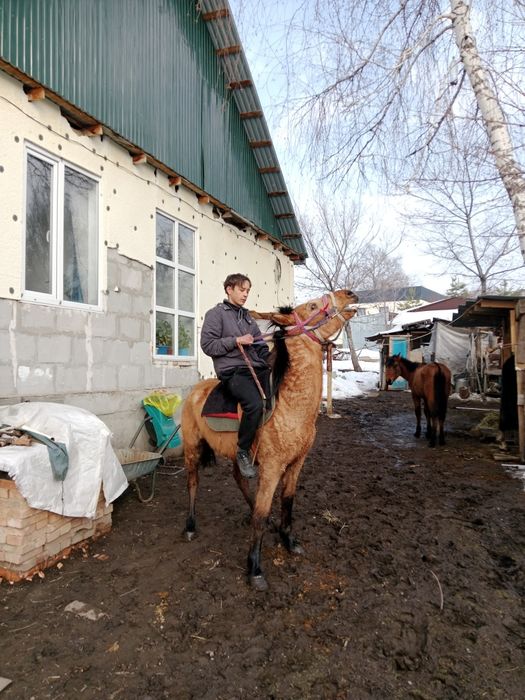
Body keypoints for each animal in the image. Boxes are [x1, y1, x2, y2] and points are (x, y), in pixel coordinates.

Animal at [181, 289, 358, 591]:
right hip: (192, 449)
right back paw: (191, 526)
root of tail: (195, 389)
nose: (349, 294)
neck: (290, 406)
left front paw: (288, 539)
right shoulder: (272, 467)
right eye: (313, 305)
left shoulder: (296, 463)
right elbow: (261, 516)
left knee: (239, 478)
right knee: (193, 483)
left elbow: (287, 501)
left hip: (236, 454)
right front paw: (254, 568)